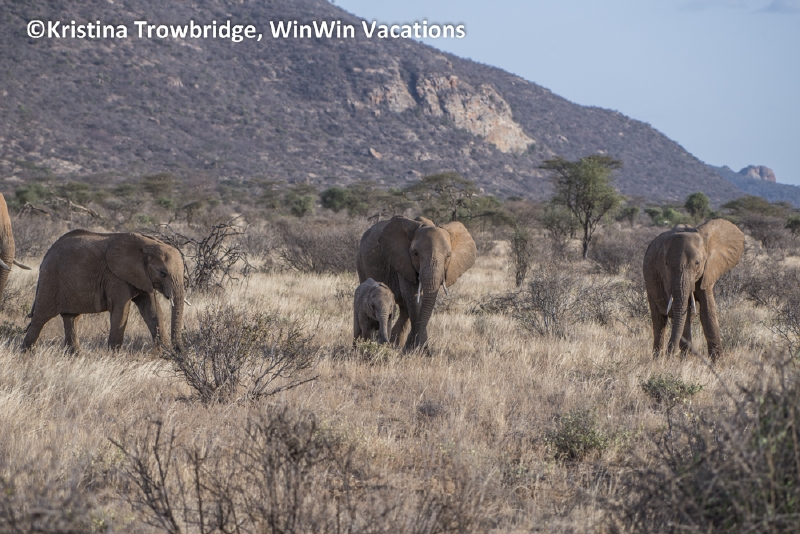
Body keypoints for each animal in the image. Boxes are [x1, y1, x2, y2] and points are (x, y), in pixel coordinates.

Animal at [22, 230, 186, 352]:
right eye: (162, 273)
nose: (178, 350)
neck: (148, 243)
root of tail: (46, 256)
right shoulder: (115, 276)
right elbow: (121, 310)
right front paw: (114, 356)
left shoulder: (143, 277)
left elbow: (153, 311)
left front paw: (165, 355)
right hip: (51, 279)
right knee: (40, 318)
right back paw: (27, 355)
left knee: (71, 318)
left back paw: (76, 356)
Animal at [356, 215, 476, 350]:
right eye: (415, 254)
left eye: (448, 256)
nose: (424, 349)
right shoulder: (402, 261)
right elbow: (412, 298)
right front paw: (419, 349)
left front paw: (413, 348)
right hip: (361, 262)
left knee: (404, 309)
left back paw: (396, 344)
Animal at [643, 218, 744, 360]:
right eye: (666, 264)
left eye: (697, 263)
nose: (670, 354)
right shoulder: (666, 276)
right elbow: (681, 310)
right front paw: (685, 359)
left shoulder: (708, 270)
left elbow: (707, 310)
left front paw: (718, 362)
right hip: (649, 281)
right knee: (659, 320)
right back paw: (658, 360)